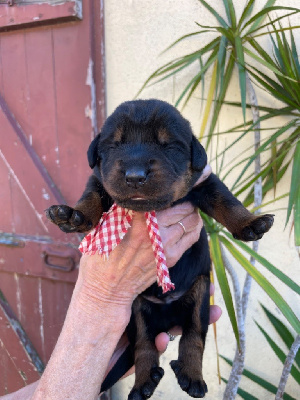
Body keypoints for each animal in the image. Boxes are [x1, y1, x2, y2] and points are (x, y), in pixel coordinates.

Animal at [45, 98, 274, 398]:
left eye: (169, 146)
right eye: (113, 145)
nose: (135, 176)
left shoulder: (206, 182)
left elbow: (227, 201)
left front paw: (250, 223)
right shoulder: (98, 181)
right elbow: (91, 195)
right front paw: (74, 215)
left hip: (200, 292)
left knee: (193, 336)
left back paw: (190, 375)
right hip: (137, 310)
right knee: (144, 344)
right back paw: (145, 382)